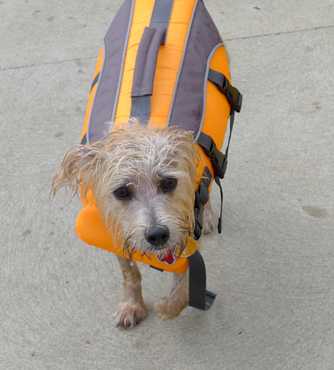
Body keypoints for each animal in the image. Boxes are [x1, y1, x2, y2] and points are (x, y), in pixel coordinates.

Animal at [52, 123, 214, 328]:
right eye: (121, 191)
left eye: (169, 182)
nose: (157, 234)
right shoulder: (116, 233)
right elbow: (129, 273)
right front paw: (132, 305)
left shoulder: (188, 224)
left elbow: (184, 282)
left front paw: (168, 307)